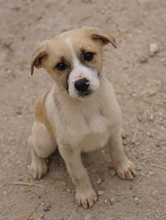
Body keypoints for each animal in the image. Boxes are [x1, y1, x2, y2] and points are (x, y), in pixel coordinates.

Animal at [29, 26, 137, 209]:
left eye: (88, 55)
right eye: (60, 65)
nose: (81, 84)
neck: (88, 107)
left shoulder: (112, 132)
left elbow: (117, 152)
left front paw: (123, 167)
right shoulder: (68, 150)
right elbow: (78, 173)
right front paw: (85, 194)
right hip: (45, 142)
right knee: (33, 145)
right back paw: (37, 166)